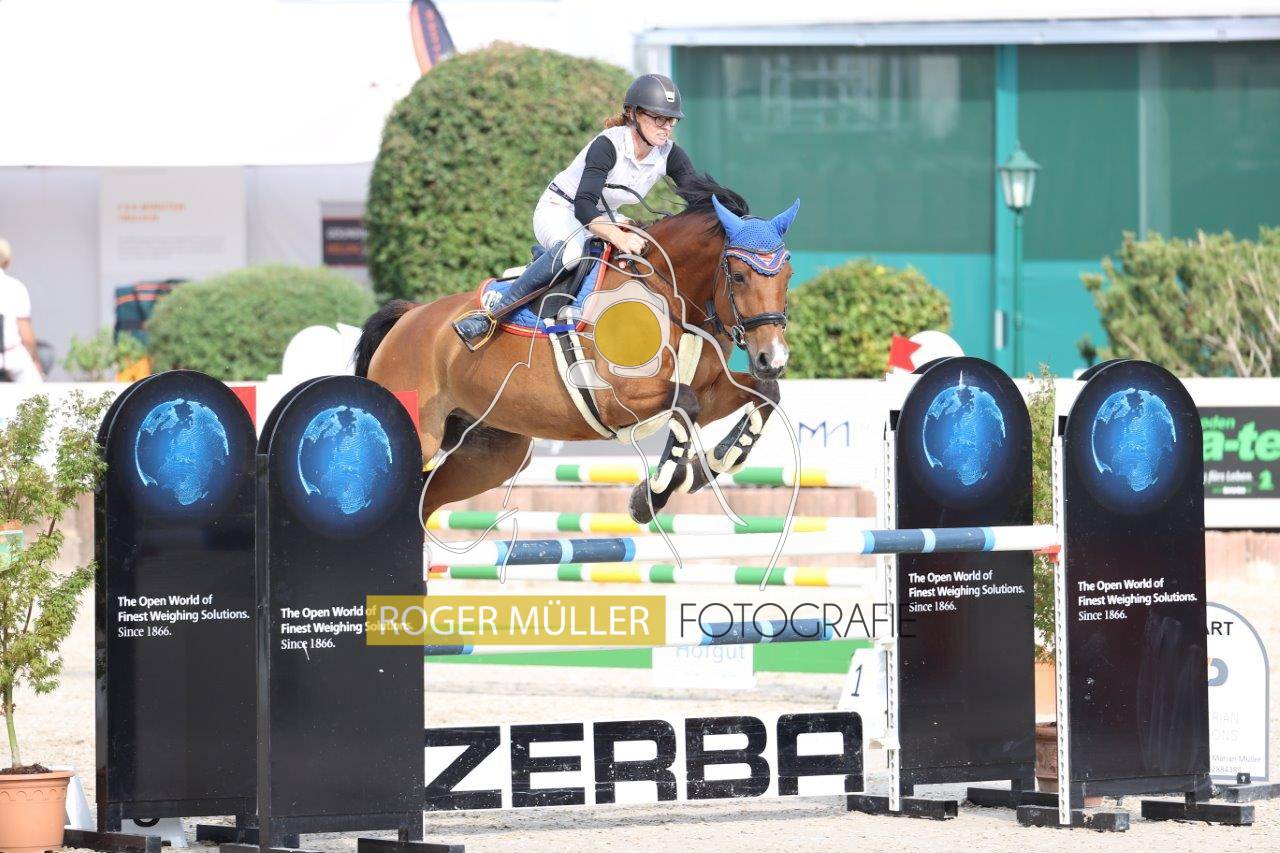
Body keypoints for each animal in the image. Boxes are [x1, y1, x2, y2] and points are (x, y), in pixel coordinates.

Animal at [354, 174, 799, 525]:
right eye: (738, 276)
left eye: (788, 275)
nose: (772, 358)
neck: (668, 296)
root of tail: (410, 316)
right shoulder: (618, 401)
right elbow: (685, 404)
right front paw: (651, 497)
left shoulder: (711, 392)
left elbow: (765, 395)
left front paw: (714, 464)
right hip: (423, 431)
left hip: (491, 454)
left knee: (427, 504)